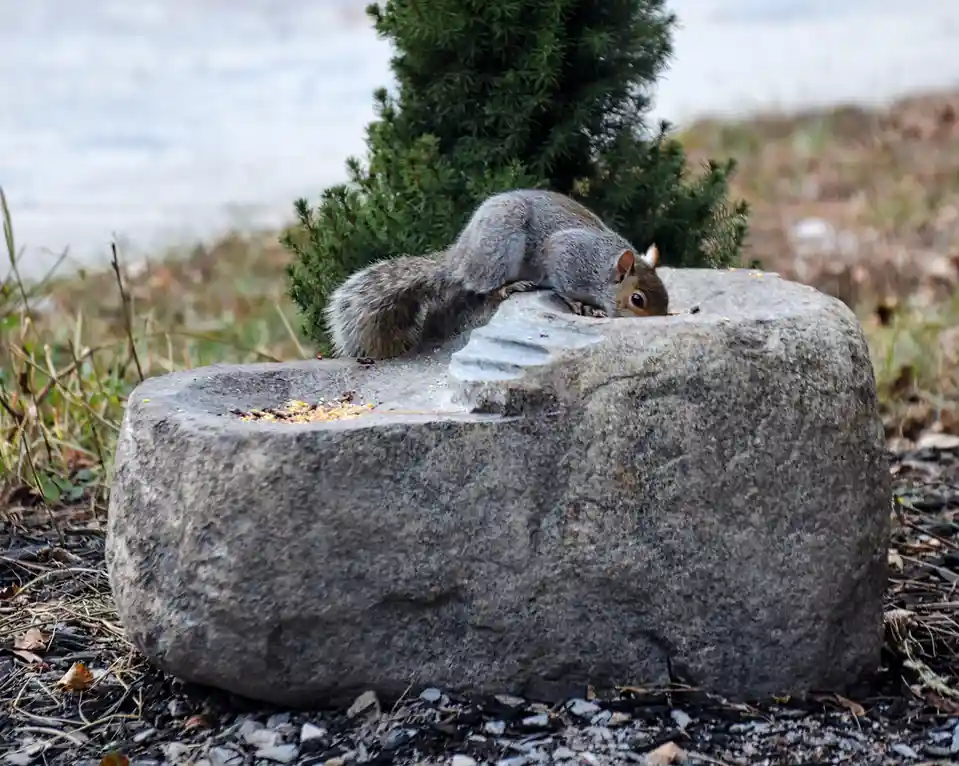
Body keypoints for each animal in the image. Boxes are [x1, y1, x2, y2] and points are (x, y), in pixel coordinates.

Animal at [324, 188, 669, 359]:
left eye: (666, 298)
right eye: (637, 300)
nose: (661, 320)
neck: (602, 267)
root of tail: (460, 258)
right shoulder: (565, 255)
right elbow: (563, 287)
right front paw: (582, 306)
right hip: (501, 249)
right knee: (482, 287)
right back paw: (509, 287)